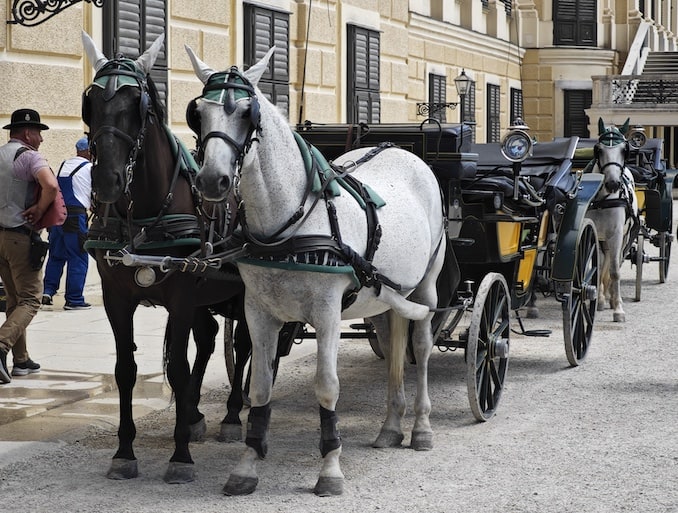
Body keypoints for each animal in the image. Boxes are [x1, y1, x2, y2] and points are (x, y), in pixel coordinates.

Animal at [81, 33, 258, 484]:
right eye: (92, 102)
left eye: (137, 105)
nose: (106, 181)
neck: (145, 214)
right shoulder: (116, 297)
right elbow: (125, 370)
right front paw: (124, 451)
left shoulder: (180, 297)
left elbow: (177, 367)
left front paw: (180, 457)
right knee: (210, 338)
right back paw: (194, 414)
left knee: (245, 343)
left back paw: (233, 414)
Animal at [187, 46, 452, 494]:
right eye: (198, 112)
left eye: (247, 113)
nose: (213, 181)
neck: (287, 225)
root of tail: (402, 150)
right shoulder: (259, 313)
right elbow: (259, 388)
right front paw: (247, 464)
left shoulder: (327, 313)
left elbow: (327, 388)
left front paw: (329, 467)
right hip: (383, 295)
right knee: (393, 344)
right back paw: (391, 425)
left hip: (427, 286)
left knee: (420, 346)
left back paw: (421, 427)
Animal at [588, 119, 640, 320]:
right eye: (599, 150)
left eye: (625, 150)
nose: (613, 184)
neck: (603, 199)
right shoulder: (595, 233)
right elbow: (598, 266)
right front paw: (599, 300)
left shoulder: (617, 235)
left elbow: (615, 270)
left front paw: (618, 309)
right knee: (605, 261)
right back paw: (603, 297)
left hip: (624, 237)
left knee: (616, 260)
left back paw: (612, 297)